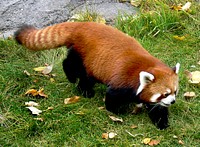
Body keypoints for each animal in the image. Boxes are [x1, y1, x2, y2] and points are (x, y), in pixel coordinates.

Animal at [14, 21, 180, 129]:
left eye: (175, 92)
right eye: (165, 94)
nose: (172, 101)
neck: (146, 67)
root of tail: (81, 24)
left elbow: (157, 108)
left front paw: (162, 123)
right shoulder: (123, 81)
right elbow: (113, 96)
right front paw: (118, 111)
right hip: (84, 55)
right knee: (73, 66)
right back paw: (79, 84)